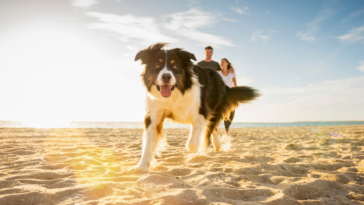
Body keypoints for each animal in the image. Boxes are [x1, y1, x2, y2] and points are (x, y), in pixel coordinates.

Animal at [134, 43, 258, 171]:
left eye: (175, 66)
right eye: (157, 65)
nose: (166, 77)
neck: (175, 95)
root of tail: (223, 83)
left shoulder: (202, 112)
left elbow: (194, 139)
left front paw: (193, 148)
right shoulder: (154, 115)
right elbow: (148, 143)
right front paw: (142, 166)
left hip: (214, 107)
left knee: (209, 130)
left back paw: (202, 152)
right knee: (212, 128)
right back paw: (217, 145)